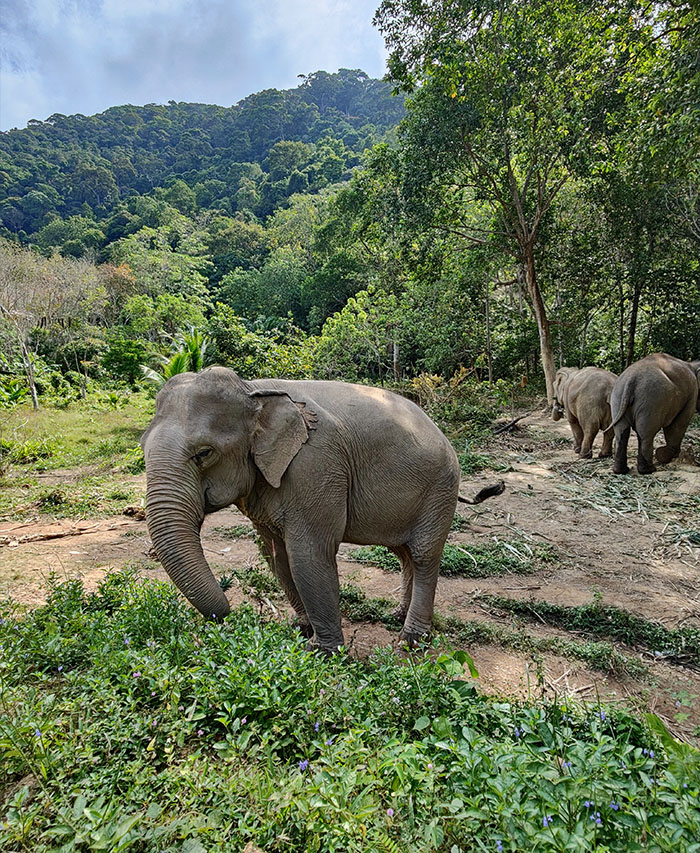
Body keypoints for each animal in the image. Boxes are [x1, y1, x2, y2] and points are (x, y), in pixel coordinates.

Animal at [141, 367, 499, 653]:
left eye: (204, 453)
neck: (252, 390)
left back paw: (410, 640)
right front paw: (300, 630)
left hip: (440, 488)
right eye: (142, 449)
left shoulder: (316, 464)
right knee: (404, 553)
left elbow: (309, 554)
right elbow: (277, 556)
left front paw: (322, 652)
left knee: (424, 555)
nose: (229, 614)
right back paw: (396, 616)